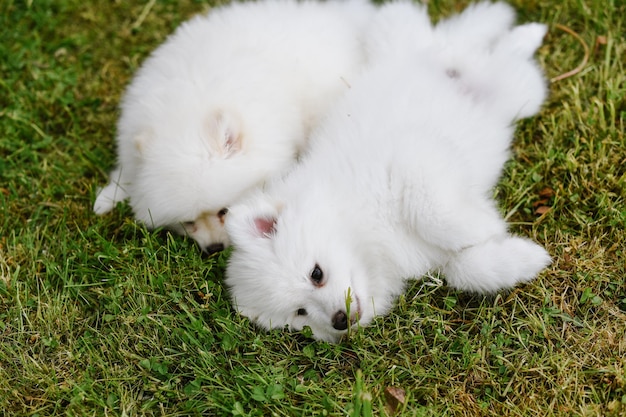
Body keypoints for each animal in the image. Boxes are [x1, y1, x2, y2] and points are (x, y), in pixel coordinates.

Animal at [93, 0, 376, 250]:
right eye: (189, 222)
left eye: (224, 211)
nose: (214, 248)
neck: (187, 107)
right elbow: (125, 174)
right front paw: (108, 196)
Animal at [225, 1, 552, 342]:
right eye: (300, 313)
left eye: (316, 274)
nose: (340, 320)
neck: (366, 226)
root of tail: (441, 53)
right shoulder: (436, 256)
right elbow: (466, 269)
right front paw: (523, 258)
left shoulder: (413, 158)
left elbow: (436, 217)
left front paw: (485, 224)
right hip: (520, 88)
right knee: (501, 53)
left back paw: (526, 31)